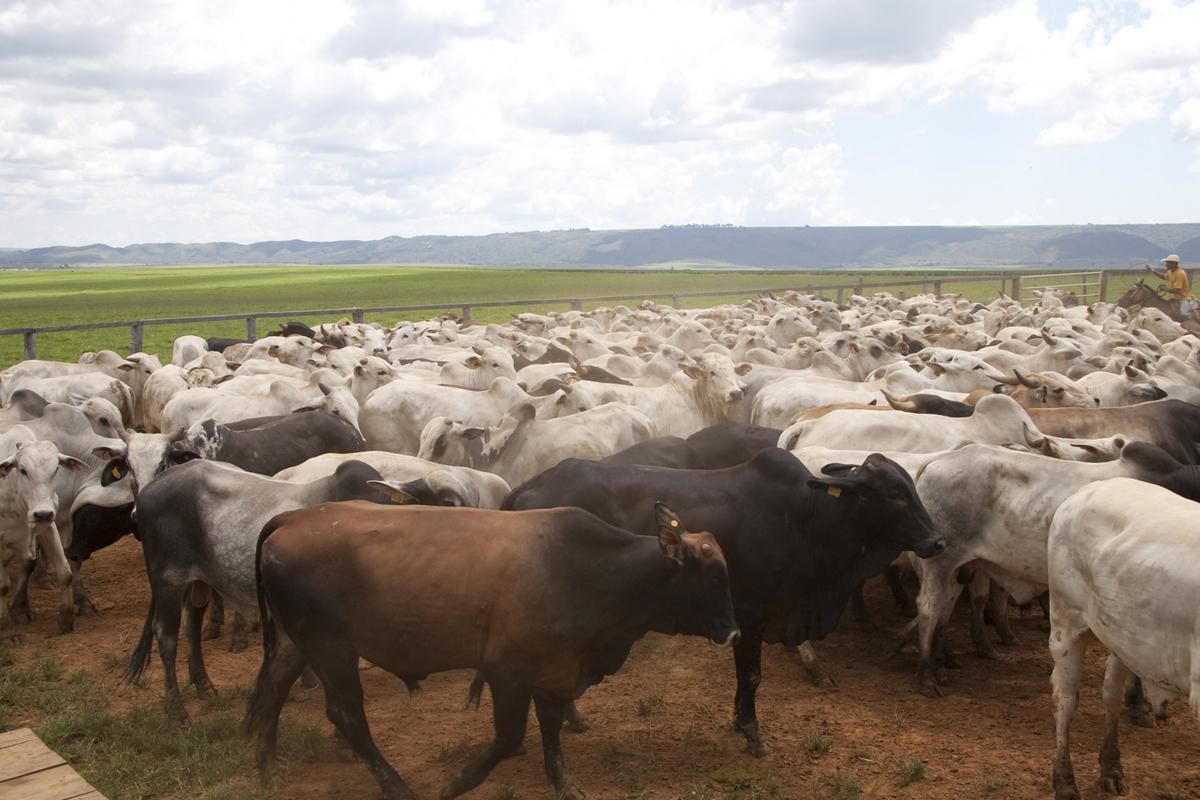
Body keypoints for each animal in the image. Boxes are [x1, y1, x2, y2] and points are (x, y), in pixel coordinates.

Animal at [501, 450, 940, 758]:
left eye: (912, 488)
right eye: (896, 494)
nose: (938, 541)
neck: (807, 520)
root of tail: (524, 489)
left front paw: (738, 721)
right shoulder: (750, 616)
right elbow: (752, 677)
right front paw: (752, 733)